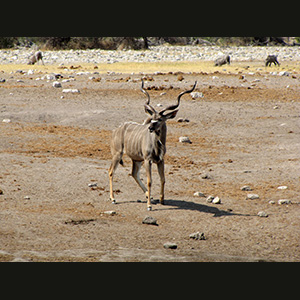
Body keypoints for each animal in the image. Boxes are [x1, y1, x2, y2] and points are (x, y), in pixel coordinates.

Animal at [108, 79, 197, 211]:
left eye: (160, 119)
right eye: (152, 118)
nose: (150, 127)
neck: (157, 145)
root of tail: (116, 130)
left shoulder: (160, 160)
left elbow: (163, 179)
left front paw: (161, 200)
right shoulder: (148, 160)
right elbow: (150, 181)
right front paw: (149, 206)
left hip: (137, 159)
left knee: (134, 173)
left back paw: (147, 195)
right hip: (118, 155)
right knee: (111, 172)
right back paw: (113, 199)